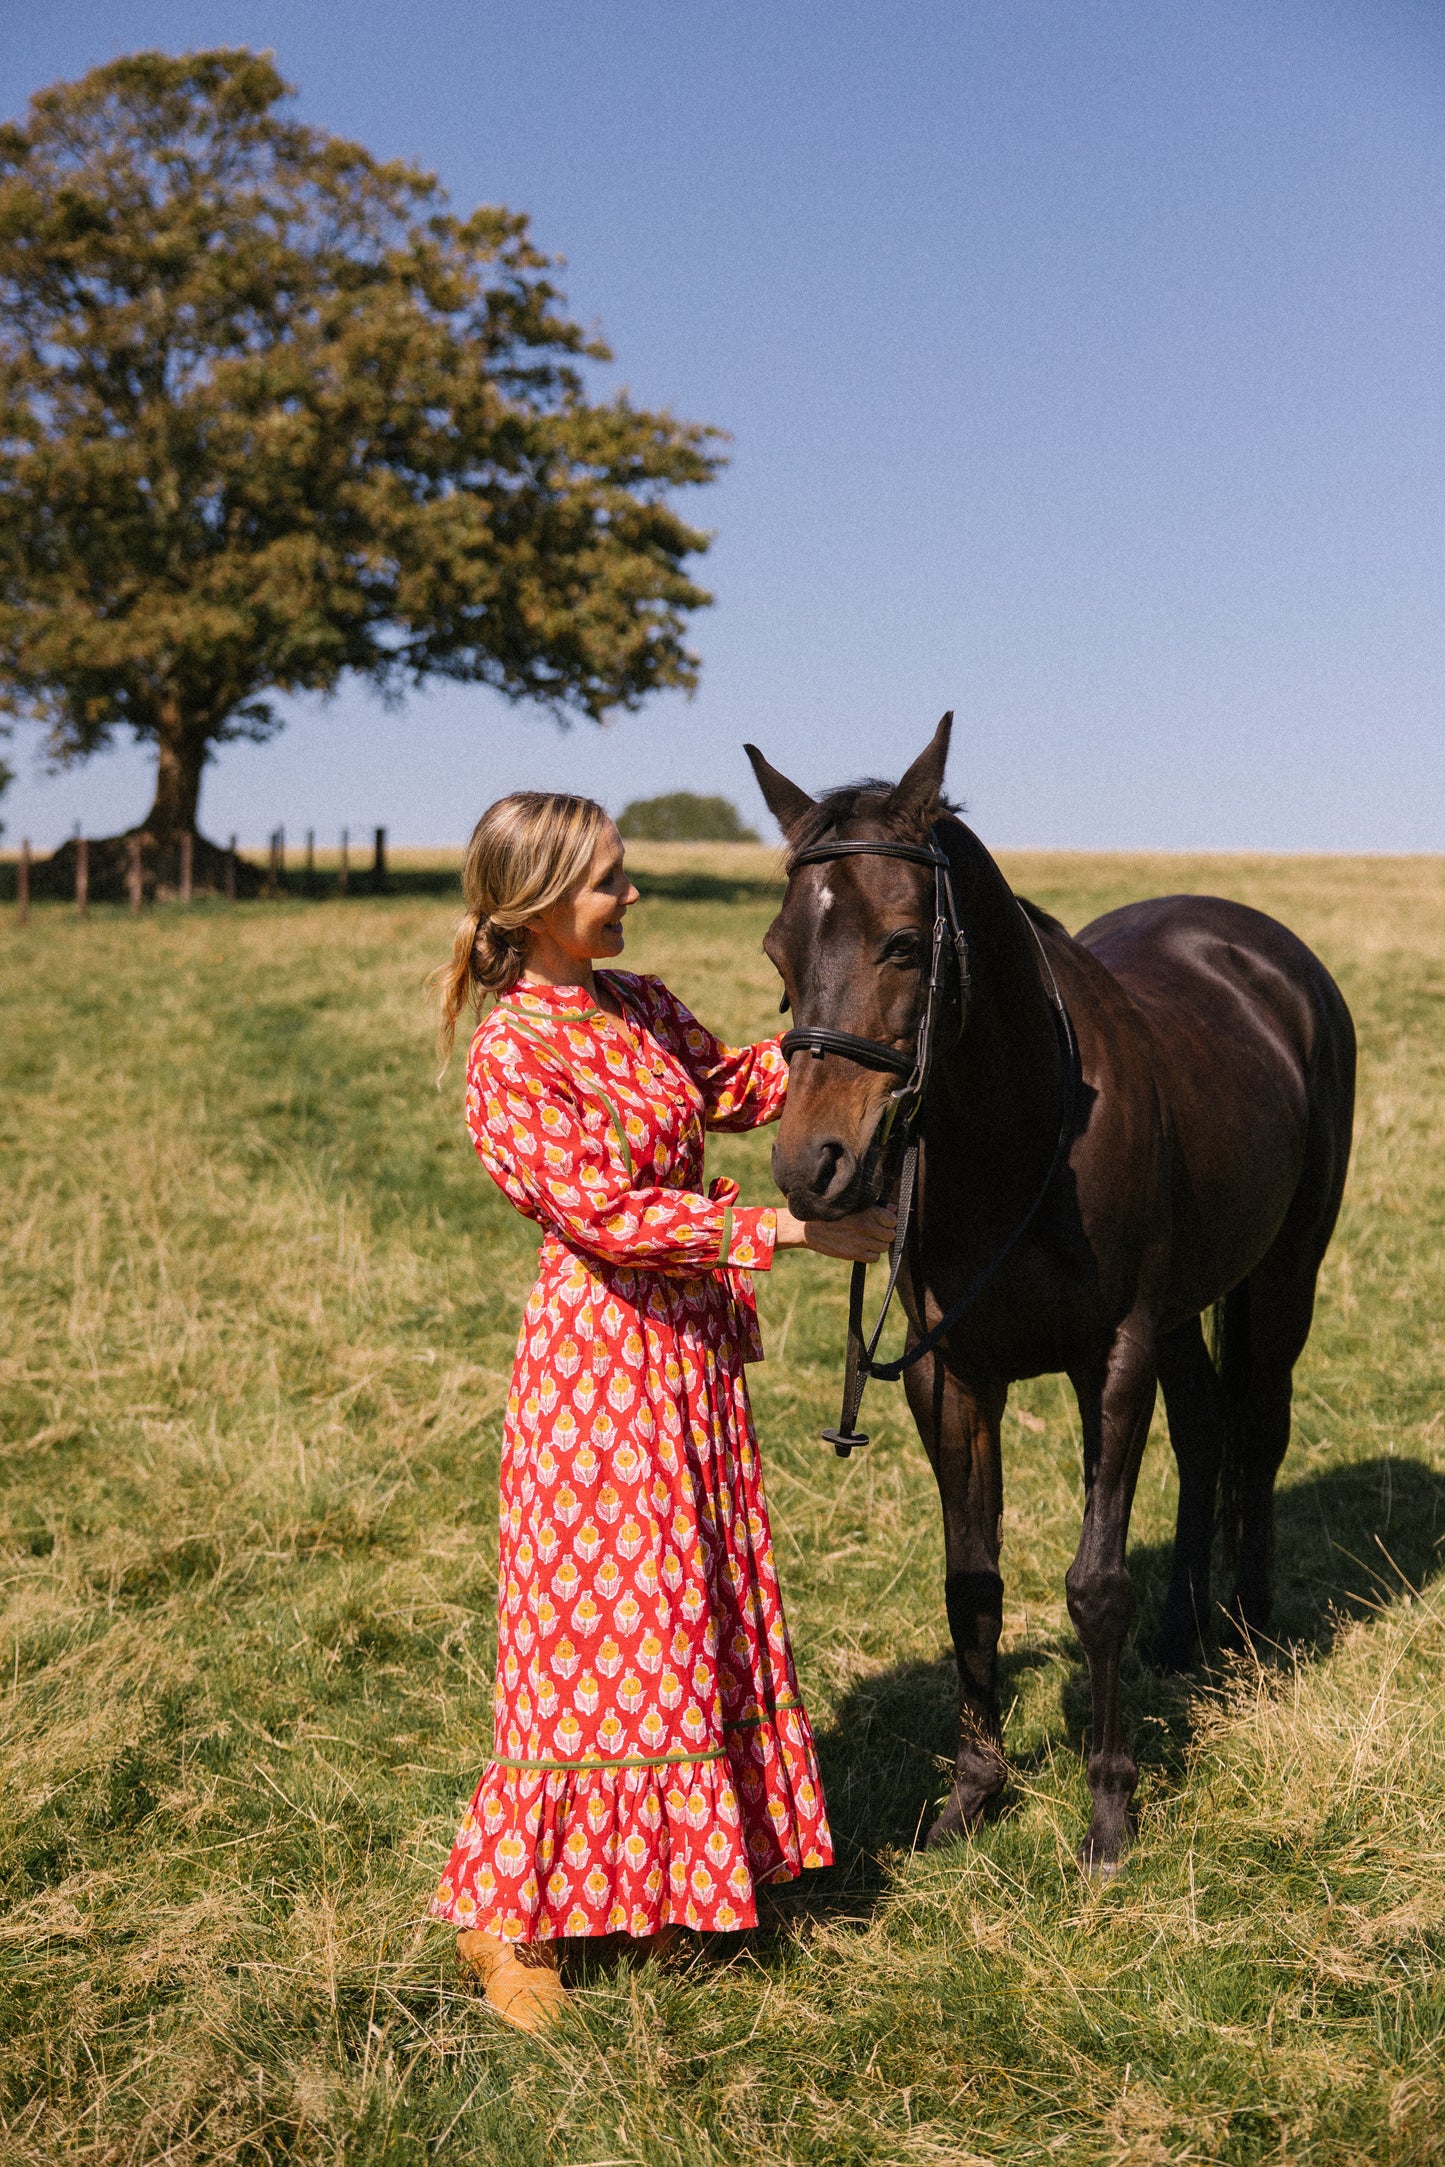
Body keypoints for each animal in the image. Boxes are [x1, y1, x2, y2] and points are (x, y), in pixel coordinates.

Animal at [745, 719, 1360, 1872]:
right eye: (778, 953)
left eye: (903, 943)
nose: (813, 1167)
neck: (1016, 1133)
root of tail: (1264, 951)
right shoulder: (949, 1375)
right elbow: (971, 1581)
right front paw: (972, 1791)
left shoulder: (1109, 1356)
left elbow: (1094, 1582)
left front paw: (1109, 1811)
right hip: (1182, 1311)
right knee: (1206, 1431)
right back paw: (1182, 1636)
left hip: (1280, 1274)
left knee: (1257, 1432)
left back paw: (1249, 1635)